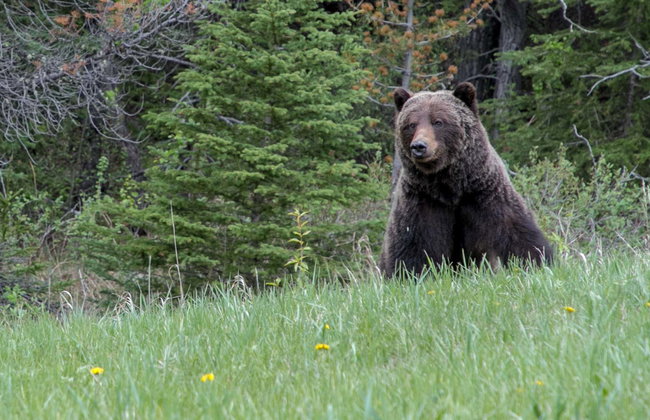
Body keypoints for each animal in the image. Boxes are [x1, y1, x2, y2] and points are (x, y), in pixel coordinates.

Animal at [379, 82, 552, 276]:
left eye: (438, 121)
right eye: (411, 124)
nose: (419, 146)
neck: (449, 185)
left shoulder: (484, 192)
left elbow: (515, 230)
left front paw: (537, 260)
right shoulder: (421, 200)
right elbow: (412, 244)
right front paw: (412, 273)